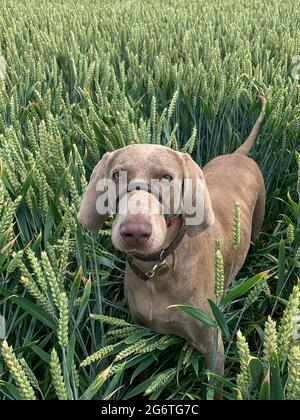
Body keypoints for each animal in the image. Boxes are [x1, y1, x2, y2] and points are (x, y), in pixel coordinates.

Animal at [77, 96, 268, 378]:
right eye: (116, 175)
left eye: (167, 177)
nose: (135, 231)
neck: (159, 267)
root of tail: (237, 154)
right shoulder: (140, 331)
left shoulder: (212, 345)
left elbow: (214, 382)